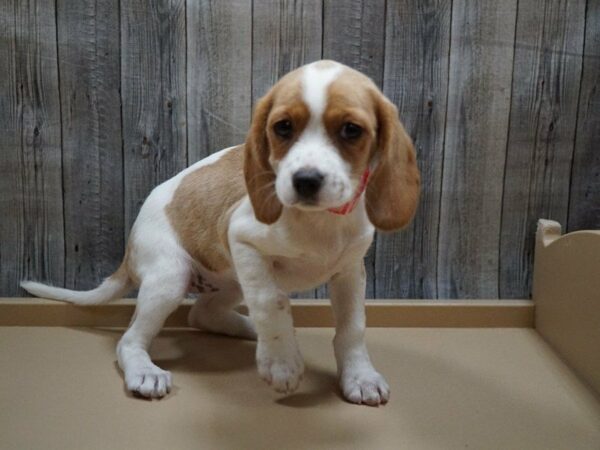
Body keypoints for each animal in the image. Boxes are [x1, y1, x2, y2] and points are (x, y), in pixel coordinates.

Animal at [22, 61, 418, 406]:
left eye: (352, 130)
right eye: (283, 127)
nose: (305, 180)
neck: (319, 221)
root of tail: (130, 246)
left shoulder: (349, 272)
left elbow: (353, 328)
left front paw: (360, 378)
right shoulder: (241, 237)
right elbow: (272, 301)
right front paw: (282, 363)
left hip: (230, 280)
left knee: (203, 314)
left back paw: (251, 330)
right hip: (171, 275)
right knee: (130, 340)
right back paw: (146, 372)